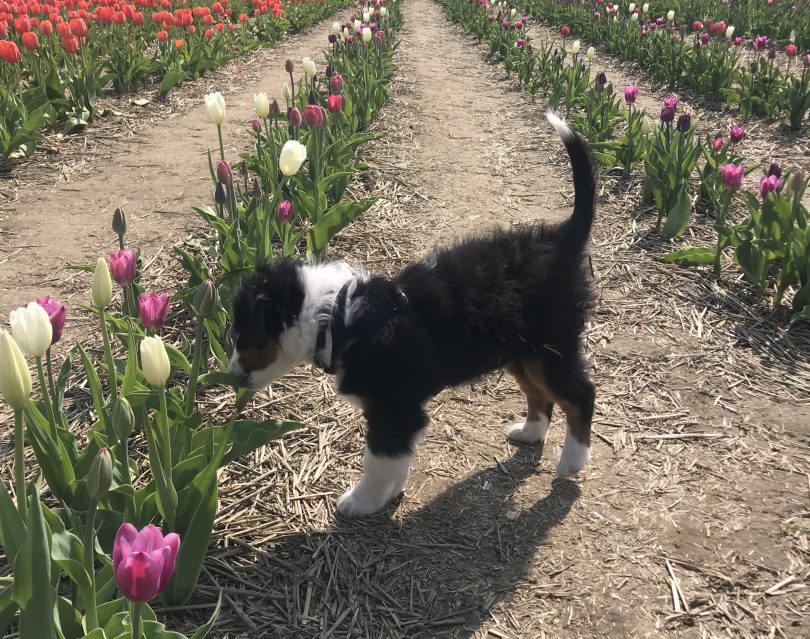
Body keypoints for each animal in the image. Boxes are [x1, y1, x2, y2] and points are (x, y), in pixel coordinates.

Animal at [227, 112, 592, 516]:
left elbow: (378, 461)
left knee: (580, 395)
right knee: (538, 394)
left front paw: (362, 502)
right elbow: (396, 460)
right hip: (521, 351)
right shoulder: (400, 412)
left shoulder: (394, 409)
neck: (335, 318)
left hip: (551, 348)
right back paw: (530, 432)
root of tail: (560, 239)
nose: (230, 376)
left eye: (242, 333)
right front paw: (389, 494)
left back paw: (571, 461)